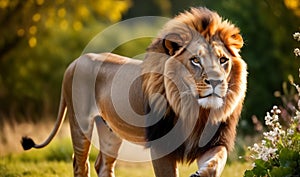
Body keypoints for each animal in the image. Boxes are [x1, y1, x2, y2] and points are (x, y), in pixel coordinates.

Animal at [20, 7, 246, 177]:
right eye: (195, 60)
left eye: (223, 60)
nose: (216, 81)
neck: (195, 110)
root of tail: (75, 62)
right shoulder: (161, 147)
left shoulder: (214, 142)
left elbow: (216, 162)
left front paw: (201, 173)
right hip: (80, 122)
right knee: (80, 164)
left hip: (110, 131)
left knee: (103, 164)